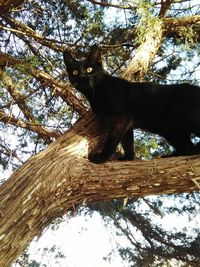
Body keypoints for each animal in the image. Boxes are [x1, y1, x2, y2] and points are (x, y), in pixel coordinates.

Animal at [63, 44, 200, 163]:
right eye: (75, 72)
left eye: (89, 69)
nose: (82, 76)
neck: (96, 92)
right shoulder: (126, 123)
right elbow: (127, 142)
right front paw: (128, 158)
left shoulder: (119, 117)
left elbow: (112, 140)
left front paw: (102, 157)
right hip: (172, 131)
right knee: (189, 148)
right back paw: (170, 156)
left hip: (186, 120)